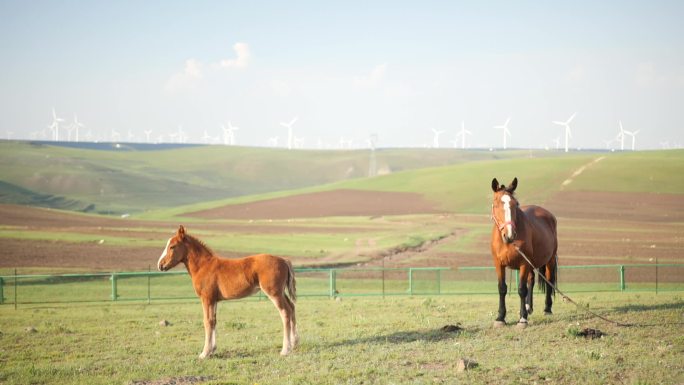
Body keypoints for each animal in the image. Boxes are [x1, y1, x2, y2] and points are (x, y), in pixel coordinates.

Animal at [162, 225, 300, 356]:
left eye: (172, 247)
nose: (161, 265)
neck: (203, 266)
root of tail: (283, 260)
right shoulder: (214, 300)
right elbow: (214, 321)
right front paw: (212, 349)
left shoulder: (207, 298)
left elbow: (207, 321)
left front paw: (204, 353)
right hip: (281, 293)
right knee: (292, 307)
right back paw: (294, 343)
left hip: (274, 293)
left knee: (285, 312)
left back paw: (285, 350)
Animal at [488, 177, 560, 328]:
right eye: (496, 204)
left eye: (515, 204)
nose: (509, 235)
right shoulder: (499, 264)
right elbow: (502, 288)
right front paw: (500, 318)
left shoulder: (523, 264)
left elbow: (522, 289)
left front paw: (522, 319)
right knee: (531, 280)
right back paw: (528, 307)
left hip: (549, 260)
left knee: (548, 280)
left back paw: (547, 309)